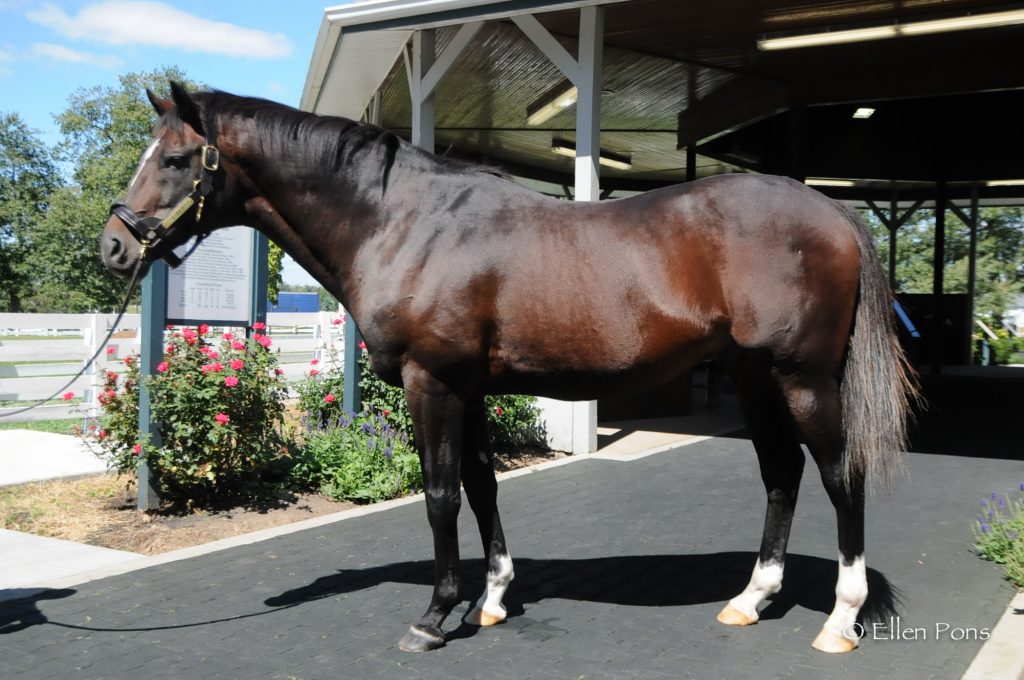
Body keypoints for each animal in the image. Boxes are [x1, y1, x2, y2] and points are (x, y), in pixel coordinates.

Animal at [103, 83, 917, 655]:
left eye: (174, 160)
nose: (115, 247)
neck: (402, 222)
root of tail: (835, 215)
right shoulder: (469, 390)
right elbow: (481, 485)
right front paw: (491, 599)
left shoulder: (432, 383)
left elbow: (439, 496)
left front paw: (435, 616)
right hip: (753, 379)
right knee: (781, 474)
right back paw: (752, 599)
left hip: (802, 378)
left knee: (840, 475)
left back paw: (839, 619)